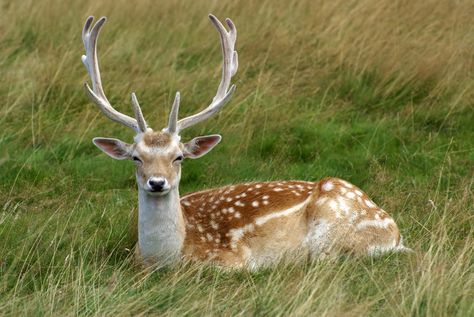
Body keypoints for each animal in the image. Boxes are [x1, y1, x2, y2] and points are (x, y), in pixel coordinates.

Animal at [81, 14, 412, 266]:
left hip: (334, 232)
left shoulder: (232, 260)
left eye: (179, 156)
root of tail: (395, 232)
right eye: (136, 157)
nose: (157, 182)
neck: (162, 258)